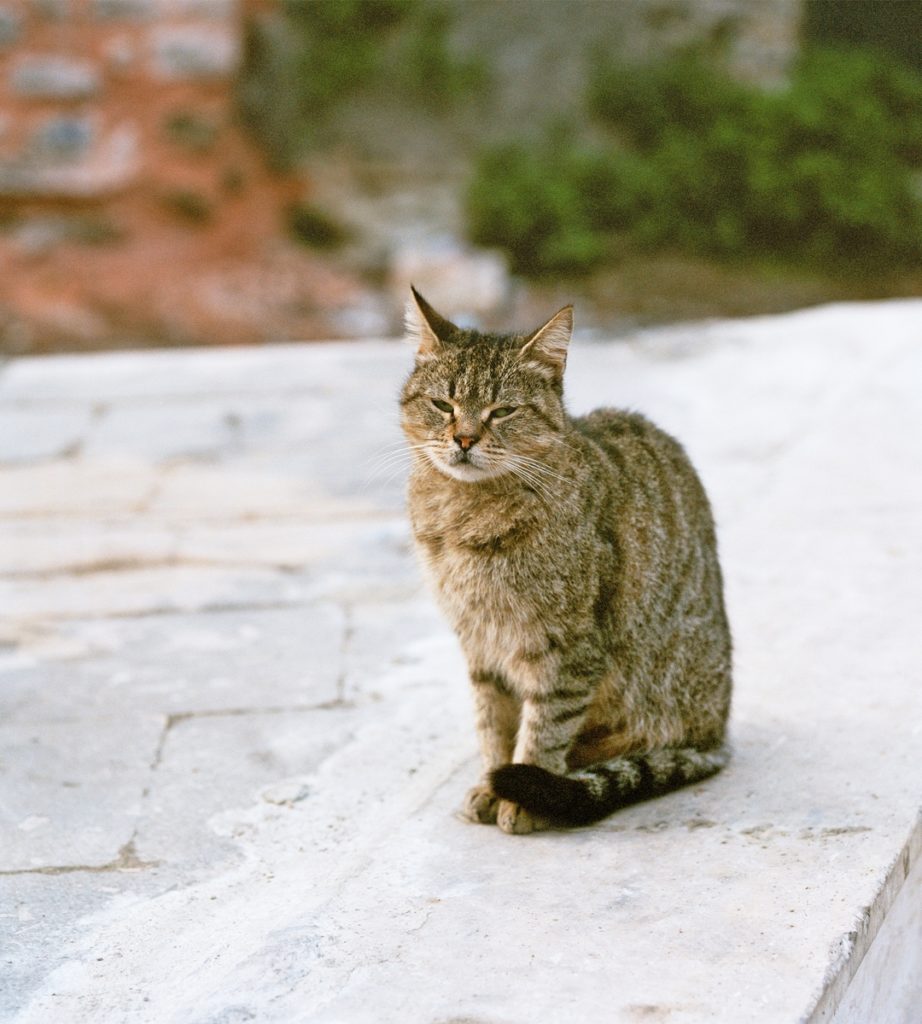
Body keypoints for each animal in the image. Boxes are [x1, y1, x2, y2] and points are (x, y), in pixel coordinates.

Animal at [399, 286, 729, 831]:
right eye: (443, 404)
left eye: (503, 411)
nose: (464, 439)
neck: (463, 513)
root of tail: (719, 735)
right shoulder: (479, 642)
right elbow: (493, 723)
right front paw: (491, 784)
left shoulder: (568, 645)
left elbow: (544, 727)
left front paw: (520, 797)